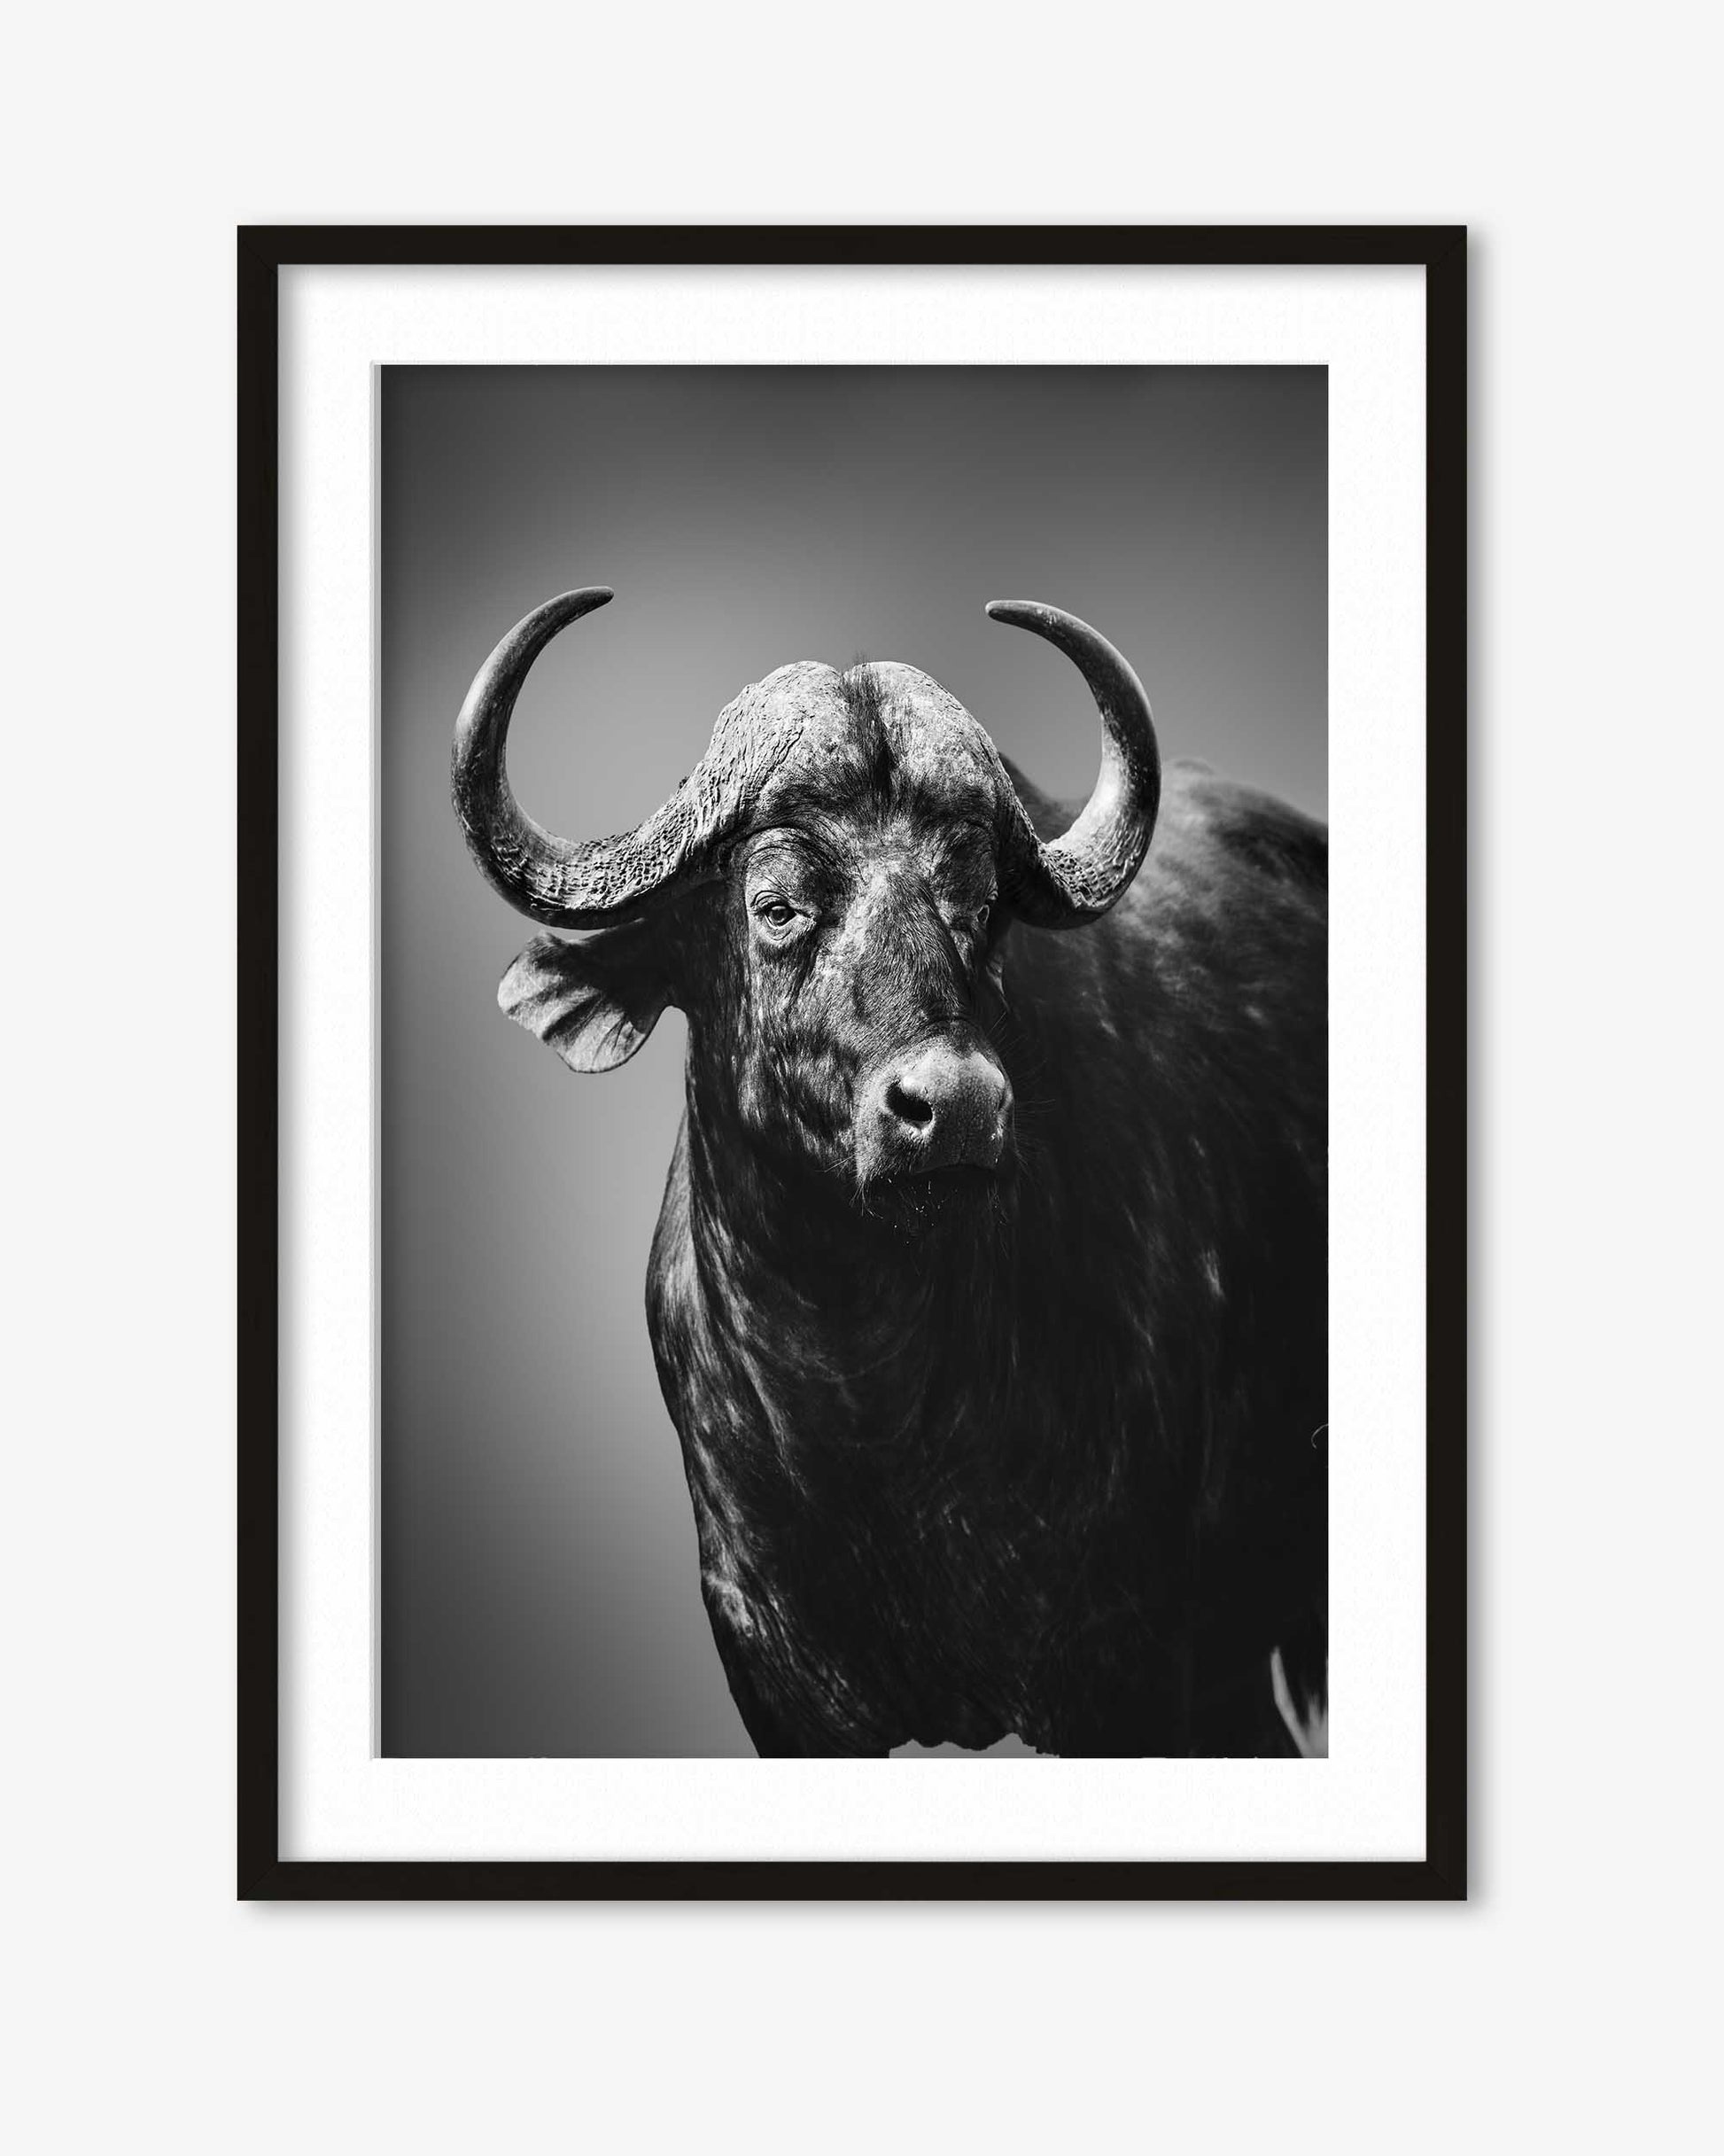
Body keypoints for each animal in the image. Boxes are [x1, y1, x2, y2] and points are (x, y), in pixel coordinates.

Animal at [453, 588, 1326, 1756]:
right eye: (777, 904)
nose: (952, 1108)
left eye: (977, 904)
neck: (866, 1404)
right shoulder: (769, 1673)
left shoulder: (1128, 1668)